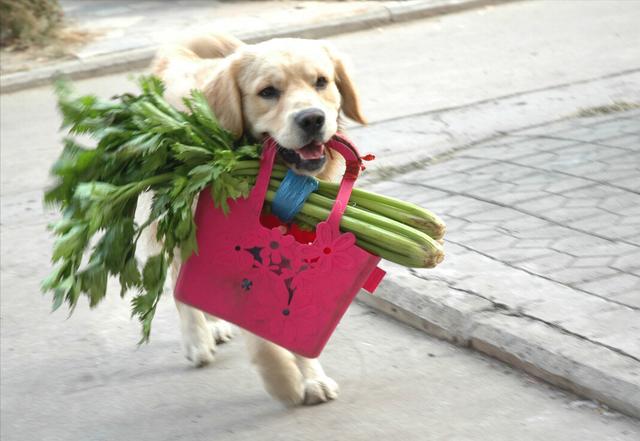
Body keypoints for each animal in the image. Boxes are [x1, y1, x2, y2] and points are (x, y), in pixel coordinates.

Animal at [146, 33, 364, 406]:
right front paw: (283, 380)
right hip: (172, 223)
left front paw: (312, 376)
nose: (312, 119)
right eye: (268, 91)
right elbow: (259, 332)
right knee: (178, 279)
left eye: (321, 82)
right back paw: (197, 338)